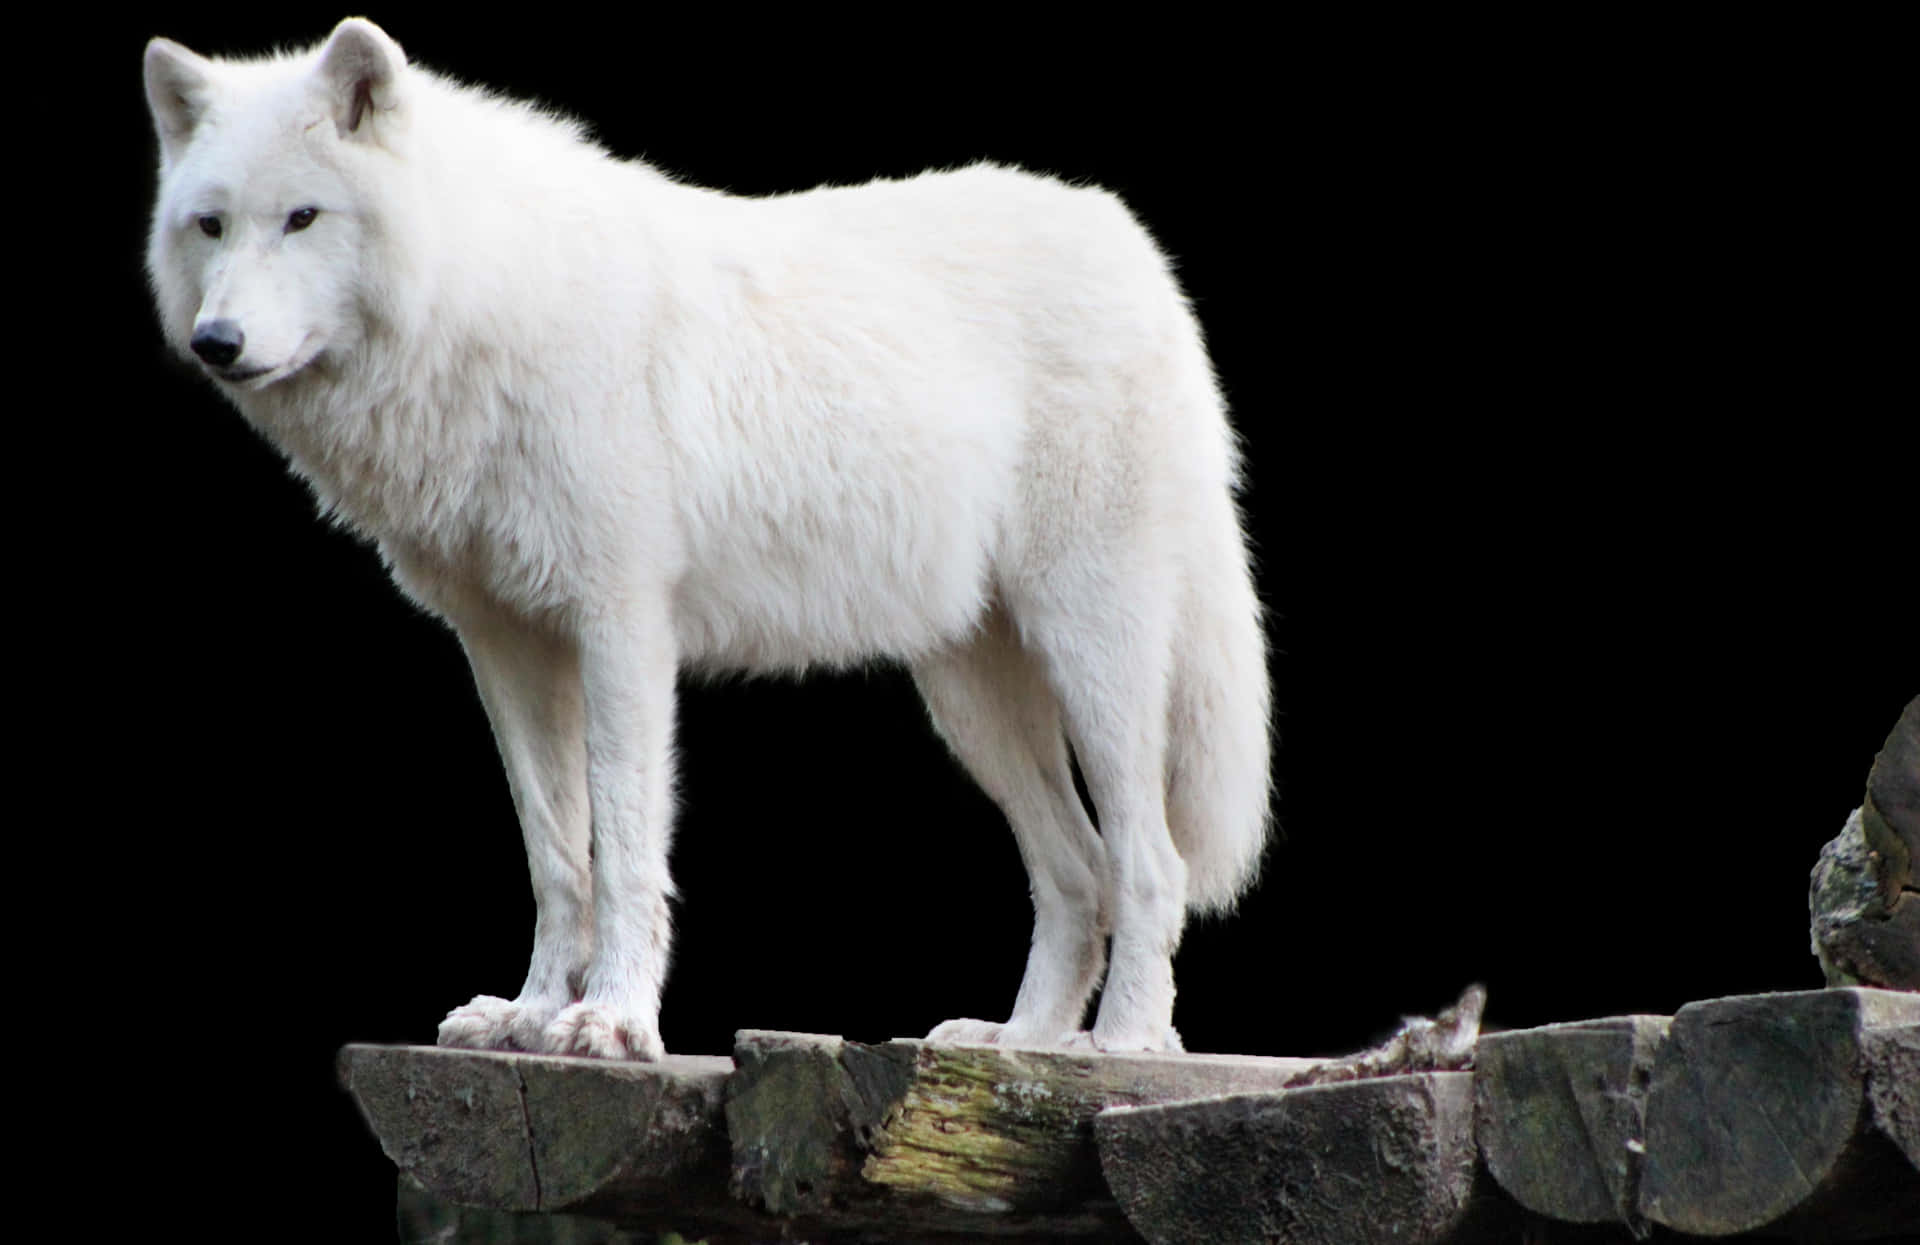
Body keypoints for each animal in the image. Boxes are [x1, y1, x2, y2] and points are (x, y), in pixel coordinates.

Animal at [142, 17, 1267, 1060]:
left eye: (302, 218)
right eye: (211, 225)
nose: (217, 342)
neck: (484, 303)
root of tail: (1130, 242)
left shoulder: (622, 628)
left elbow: (626, 848)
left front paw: (613, 1022)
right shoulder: (506, 646)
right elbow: (557, 854)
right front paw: (532, 1014)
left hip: (1093, 658)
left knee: (1149, 863)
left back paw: (1124, 1045)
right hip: (970, 698)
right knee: (1077, 874)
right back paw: (1017, 1044)